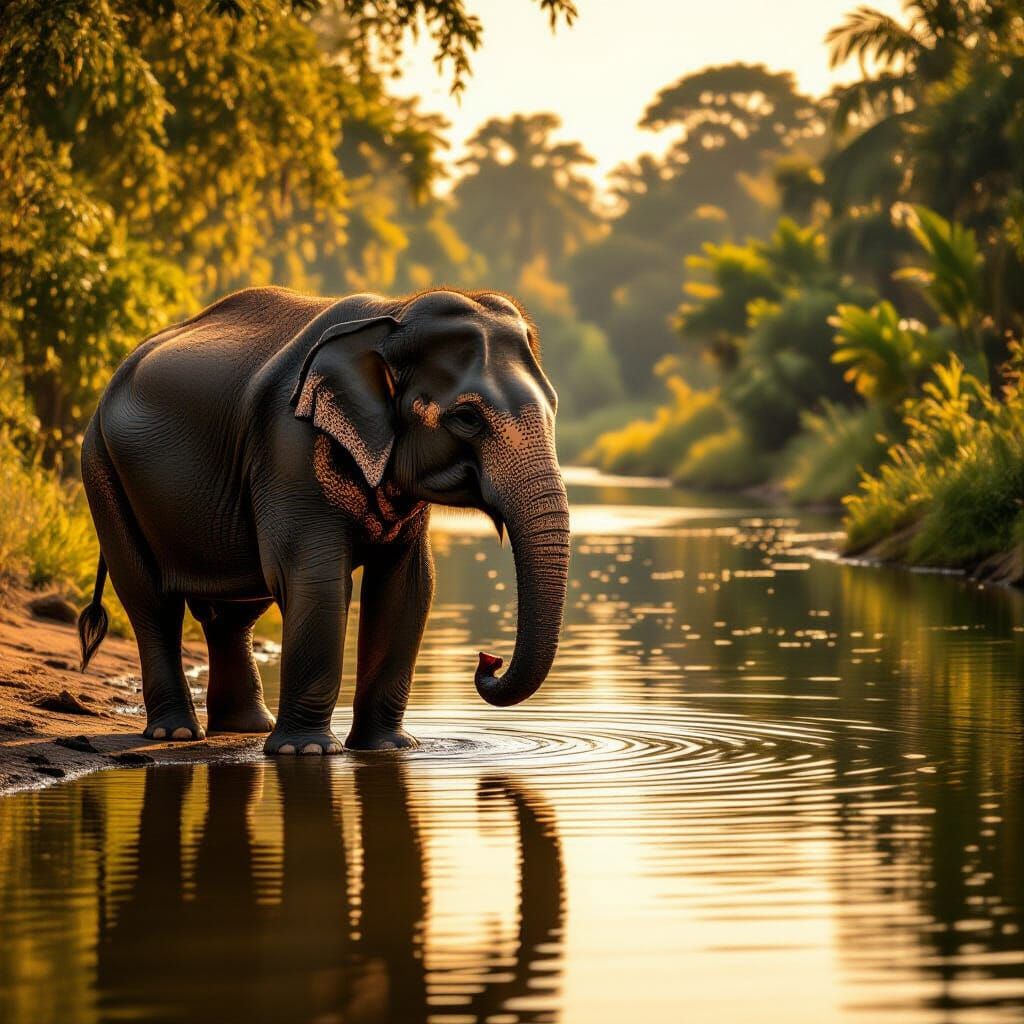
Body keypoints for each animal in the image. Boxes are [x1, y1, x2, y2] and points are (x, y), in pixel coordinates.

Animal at [76, 286, 570, 755]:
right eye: (467, 417)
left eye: (554, 406)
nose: (488, 659)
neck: (395, 313)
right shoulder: (289, 446)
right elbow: (315, 578)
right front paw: (307, 750)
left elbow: (408, 587)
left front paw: (390, 748)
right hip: (101, 468)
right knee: (150, 599)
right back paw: (176, 732)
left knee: (233, 609)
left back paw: (245, 727)